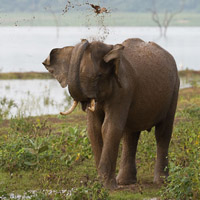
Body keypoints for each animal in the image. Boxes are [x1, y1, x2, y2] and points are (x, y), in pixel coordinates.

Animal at [42, 38, 180, 190]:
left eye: (99, 76)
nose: (85, 40)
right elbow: (94, 129)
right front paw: (101, 184)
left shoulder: (123, 90)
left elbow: (109, 127)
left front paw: (107, 187)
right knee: (130, 134)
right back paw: (125, 182)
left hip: (174, 89)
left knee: (163, 132)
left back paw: (161, 182)